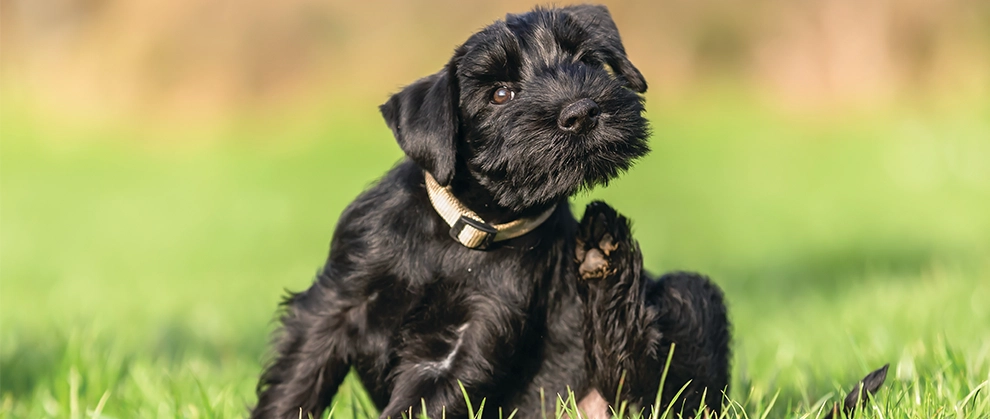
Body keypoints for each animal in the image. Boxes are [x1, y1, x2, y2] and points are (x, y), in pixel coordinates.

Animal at [252, 5, 732, 419]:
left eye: (587, 61)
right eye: (500, 93)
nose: (581, 112)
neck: (465, 230)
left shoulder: (471, 337)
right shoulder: (334, 305)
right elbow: (297, 382)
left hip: (689, 295)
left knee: (651, 385)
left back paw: (606, 252)